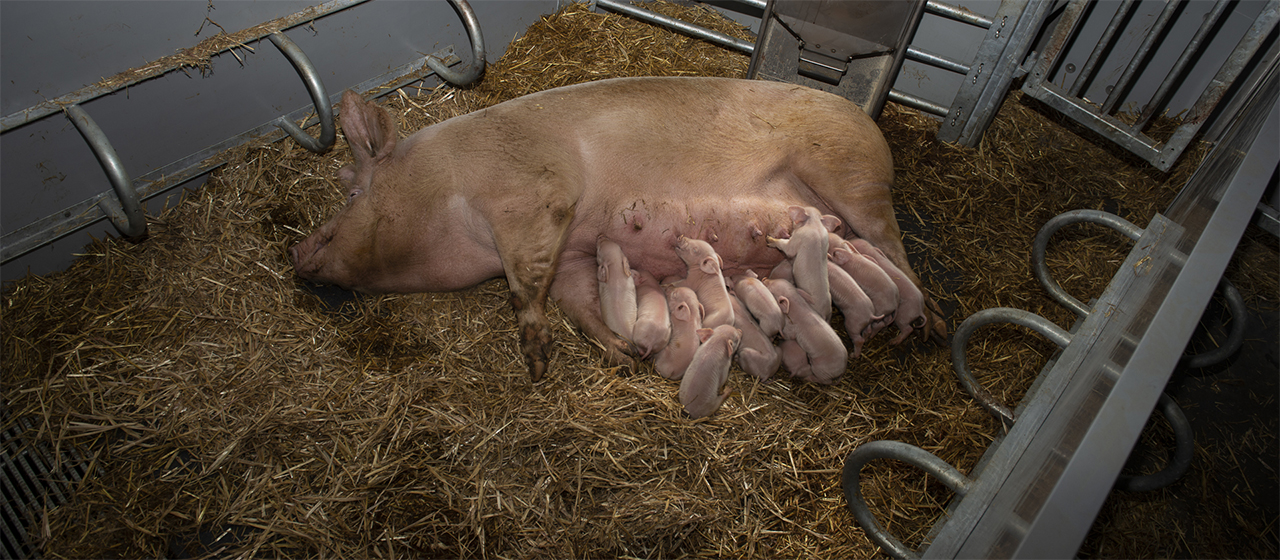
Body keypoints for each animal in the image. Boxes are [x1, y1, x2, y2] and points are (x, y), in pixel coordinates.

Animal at [294, 76, 947, 381]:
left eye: (352, 191)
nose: (297, 252)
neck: (450, 184)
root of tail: (869, 122)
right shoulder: (573, 252)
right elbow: (573, 299)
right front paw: (623, 354)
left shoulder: (537, 196)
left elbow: (523, 286)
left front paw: (536, 362)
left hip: (851, 177)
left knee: (898, 256)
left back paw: (928, 330)